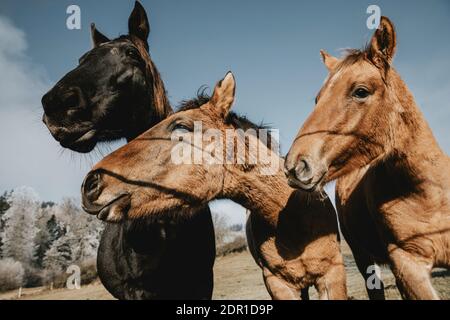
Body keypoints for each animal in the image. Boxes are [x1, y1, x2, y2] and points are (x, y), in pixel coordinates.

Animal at [286, 16, 448, 298]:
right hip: (365, 260)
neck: (429, 196)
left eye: (360, 91)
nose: (296, 165)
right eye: (318, 98)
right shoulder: (408, 266)